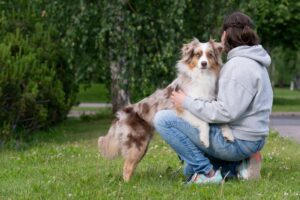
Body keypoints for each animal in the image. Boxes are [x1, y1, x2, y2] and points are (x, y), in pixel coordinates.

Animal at [97, 38, 233, 182]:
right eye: (197, 54)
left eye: (209, 55)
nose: (203, 63)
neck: (202, 77)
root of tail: (122, 113)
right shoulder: (183, 109)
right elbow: (204, 123)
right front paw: (205, 140)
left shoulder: (210, 104)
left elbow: (221, 120)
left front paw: (228, 134)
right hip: (138, 144)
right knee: (127, 167)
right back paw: (129, 185)